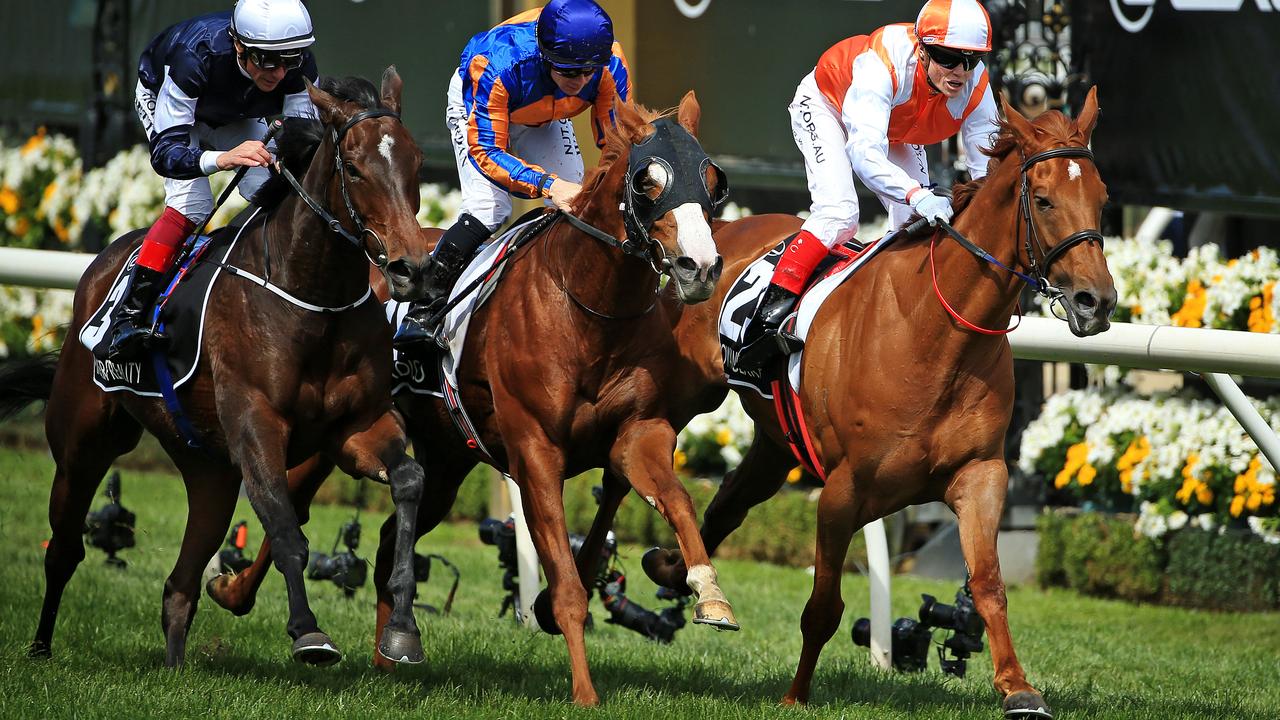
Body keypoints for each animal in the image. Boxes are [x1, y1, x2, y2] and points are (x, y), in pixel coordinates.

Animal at [0, 71, 432, 666]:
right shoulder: (256, 422)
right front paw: (308, 632)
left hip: (209, 470)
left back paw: (176, 666)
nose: (412, 269)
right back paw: (41, 646)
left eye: (415, 164)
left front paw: (403, 628)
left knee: (178, 586)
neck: (311, 294)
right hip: (82, 444)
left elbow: (410, 481)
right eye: (355, 167)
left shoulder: (356, 426)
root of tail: (101, 265)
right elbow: (283, 519)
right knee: (64, 548)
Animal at [645, 89, 1116, 717]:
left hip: (775, 444)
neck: (937, 334)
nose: (1097, 301)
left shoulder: (981, 473)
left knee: (729, 504)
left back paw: (671, 570)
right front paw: (795, 696)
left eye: (1102, 200)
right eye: (1042, 200)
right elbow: (823, 607)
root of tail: (718, 232)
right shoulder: (842, 491)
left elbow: (989, 583)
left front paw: (1018, 687)